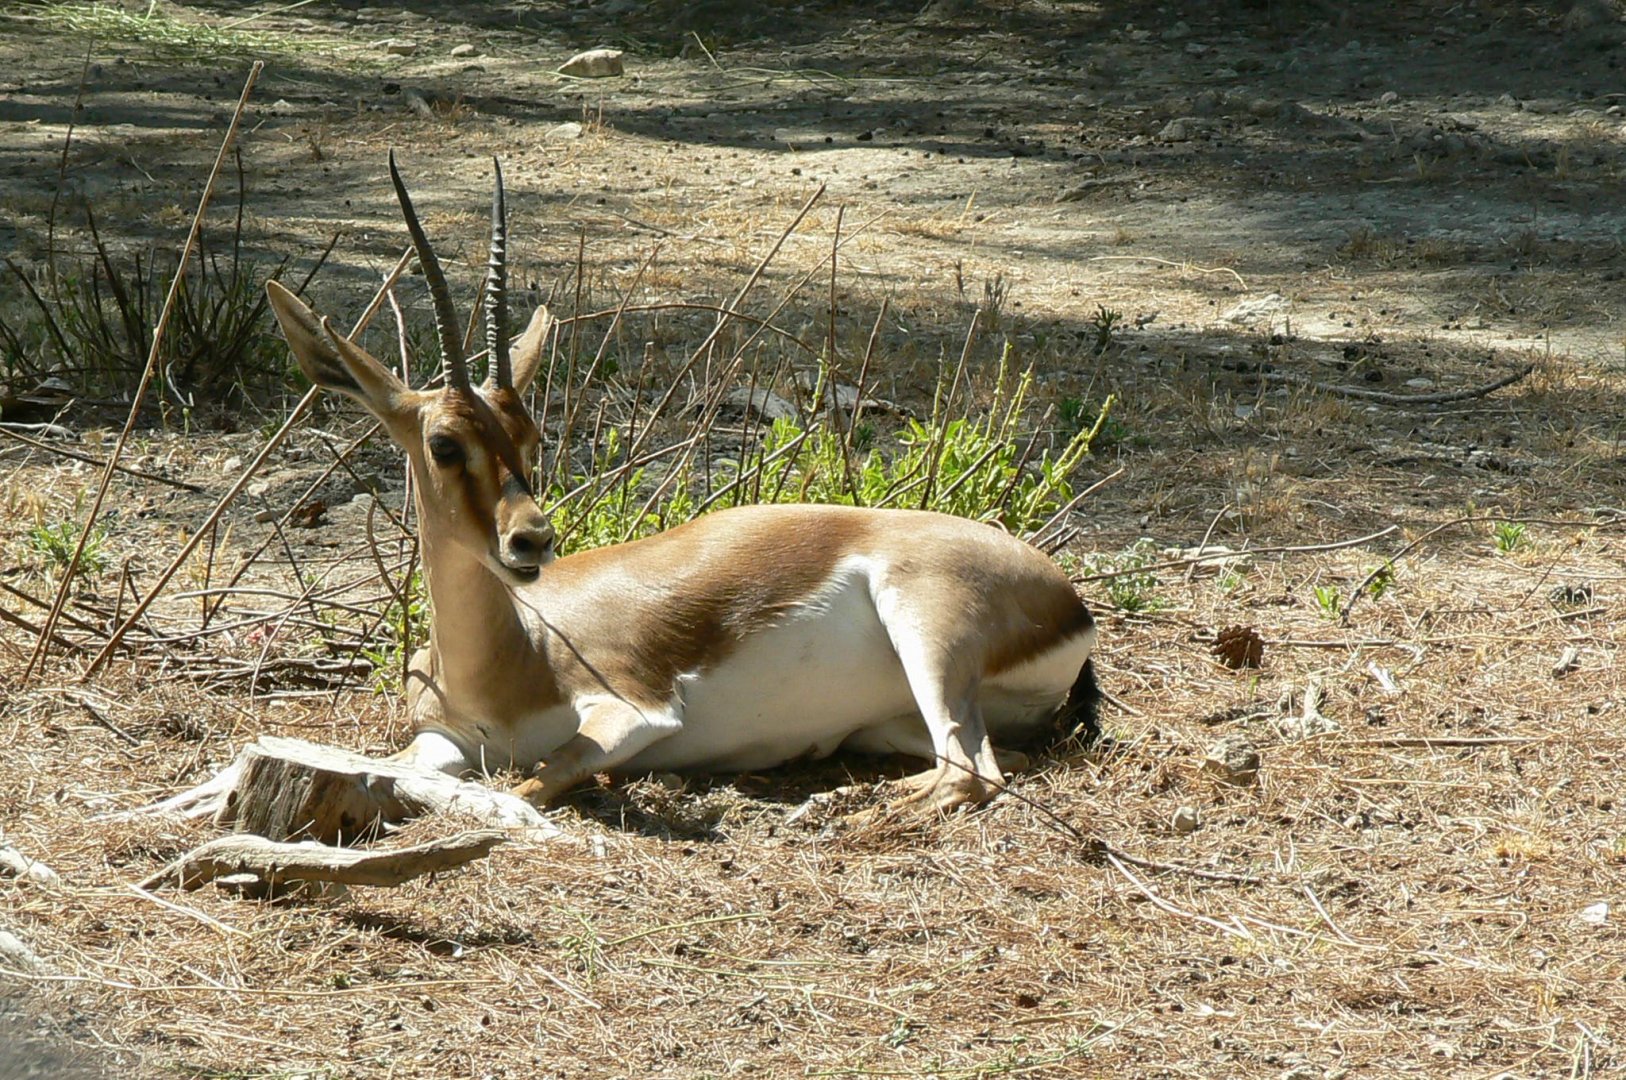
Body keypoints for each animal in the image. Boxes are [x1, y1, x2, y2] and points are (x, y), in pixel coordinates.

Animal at [263, 153, 1099, 814]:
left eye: (530, 437)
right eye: (444, 445)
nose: (532, 539)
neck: (514, 655)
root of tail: (1066, 595)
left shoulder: (634, 712)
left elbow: (530, 781)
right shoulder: (443, 740)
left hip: (925, 631)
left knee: (974, 772)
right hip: (893, 719)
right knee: (995, 759)